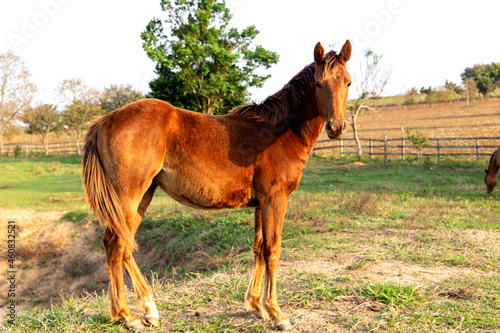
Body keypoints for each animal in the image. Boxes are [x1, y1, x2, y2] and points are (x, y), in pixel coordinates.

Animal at [82, 39, 354, 330]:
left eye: (348, 82)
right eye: (318, 83)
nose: (336, 127)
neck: (279, 132)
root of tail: (104, 121)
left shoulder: (260, 203)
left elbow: (258, 248)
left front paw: (257, 305)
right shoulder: (275, 199)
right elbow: (272, 249)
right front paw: (276, 313)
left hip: (142, 197)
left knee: (122, 246)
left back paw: (147, 310)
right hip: (127, 196)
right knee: (115, 245)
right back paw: (128, 316)